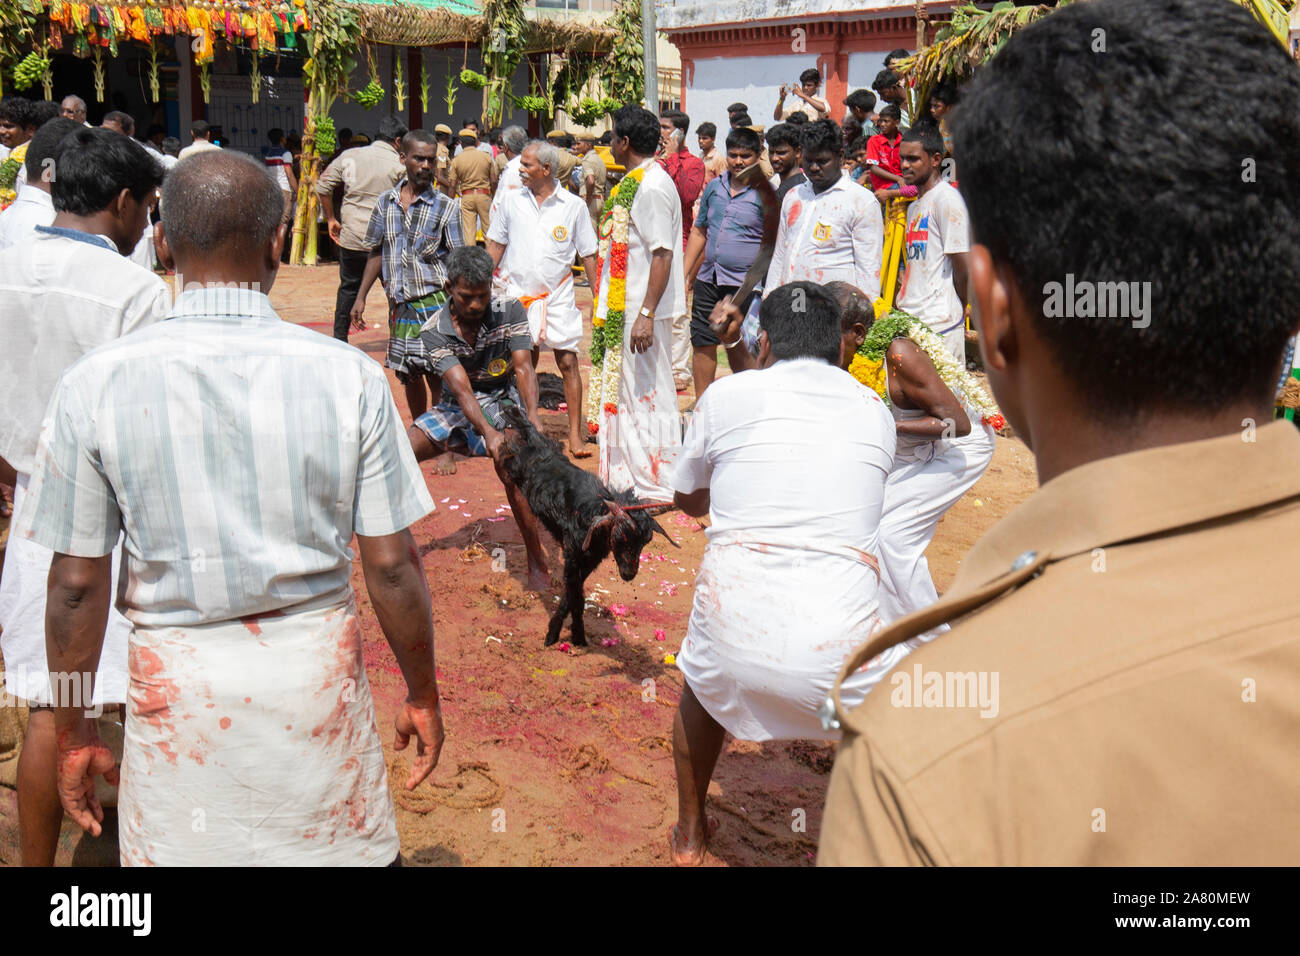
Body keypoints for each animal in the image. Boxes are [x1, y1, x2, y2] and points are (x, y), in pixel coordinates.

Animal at [499, 403, 681, 642]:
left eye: (646, 542)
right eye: (620, 536)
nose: (629, 574)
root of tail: (542, 448)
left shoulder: (589, 560)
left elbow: (572, 595)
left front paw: (565, 631)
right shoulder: (573, 556)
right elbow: (575, 597)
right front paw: (569, 637)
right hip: (519, 467)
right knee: (508, 458)